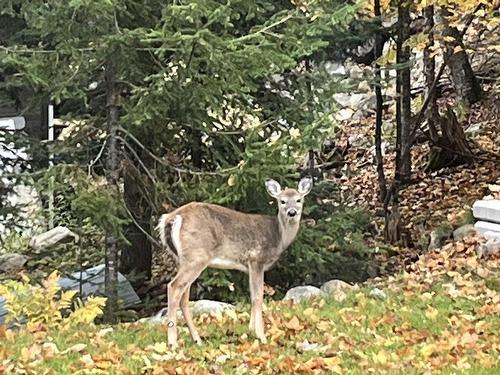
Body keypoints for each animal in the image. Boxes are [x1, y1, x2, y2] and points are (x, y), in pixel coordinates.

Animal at [156, 178, 312, 348]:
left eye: (299, 200)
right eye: (282, 201)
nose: (292, 212)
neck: (278, 236)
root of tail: (171, 218)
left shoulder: (249, 266)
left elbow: (252, 295)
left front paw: (251, 331)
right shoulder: (256, 259)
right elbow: (258, 296)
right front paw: (261, 336)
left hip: (183, 259)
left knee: (183, 295)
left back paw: (197, 339)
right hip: (196, 256)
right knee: (174, 287)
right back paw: (173, 343)